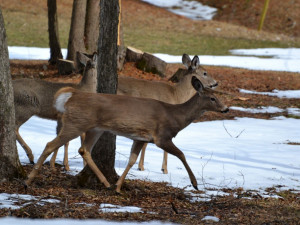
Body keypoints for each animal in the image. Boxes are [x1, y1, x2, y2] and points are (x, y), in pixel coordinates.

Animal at [25, 76, 229, 192]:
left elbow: (132, 160)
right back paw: (28, 180)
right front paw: (195, 183)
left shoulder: (140, 138)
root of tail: (71, 96)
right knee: (50, 144)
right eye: (212, 98)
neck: (175, 116)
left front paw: (118, 187)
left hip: (95, 128)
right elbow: (182, 154)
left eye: (218, 97)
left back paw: (106, 184)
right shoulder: (161, 136)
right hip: (76, 123)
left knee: (84, 150)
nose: (226, 109)